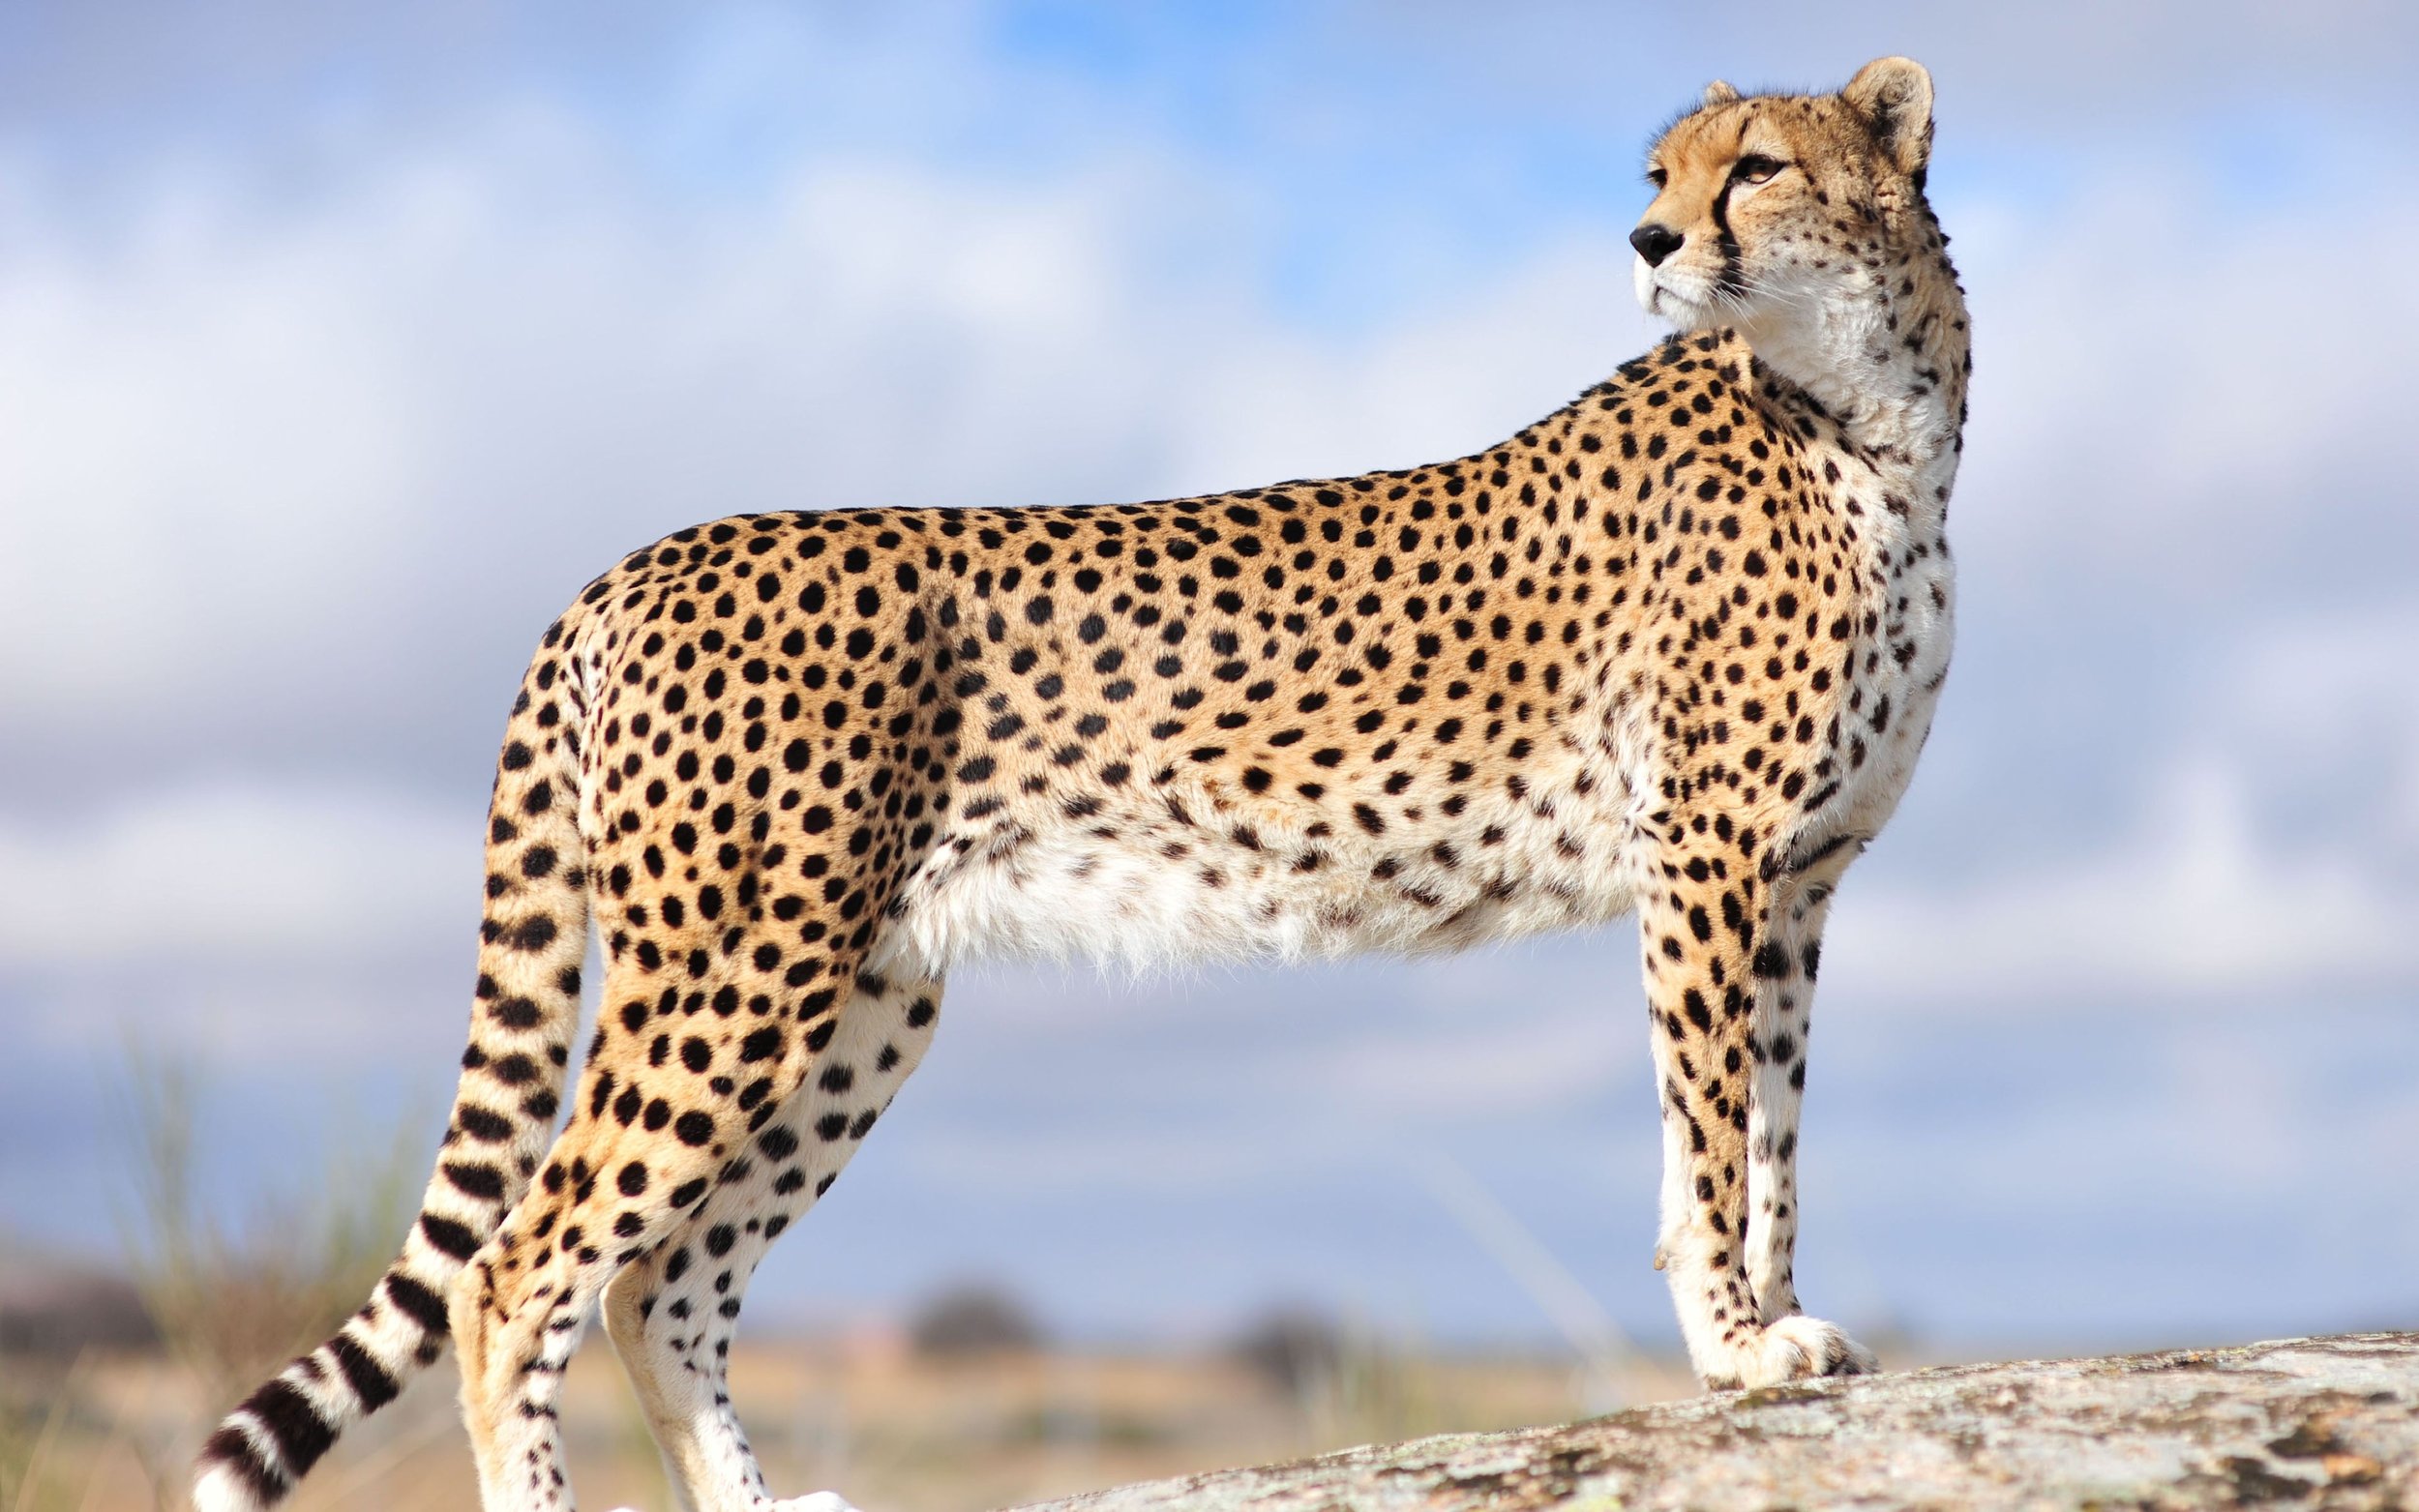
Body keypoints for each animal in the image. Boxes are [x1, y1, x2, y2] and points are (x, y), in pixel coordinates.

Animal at [194, 55, 1968, 1512]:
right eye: (1662, 170)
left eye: (1753, 167)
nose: (1648, 243)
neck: (1873, 419)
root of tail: (637, 560)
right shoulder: (1709, 857)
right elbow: (1715, 1121)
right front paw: (1734, 1345)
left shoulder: (1794, 878)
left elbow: (1766, 1130)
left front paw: (1776, 1325)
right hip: (739, 966)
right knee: (519, 1273)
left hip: (867, 992)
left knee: (662, 1281)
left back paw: (766, 1503)